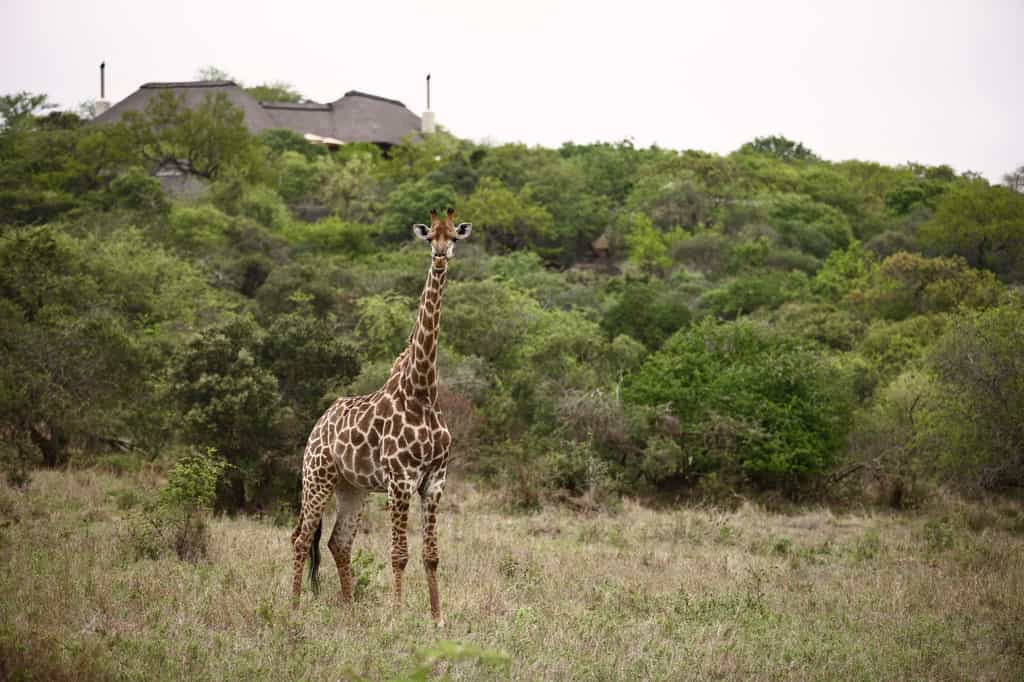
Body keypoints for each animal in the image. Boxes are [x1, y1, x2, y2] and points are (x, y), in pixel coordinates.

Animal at [290, 207, 471, 627]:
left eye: (454, 236)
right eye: (429, 237)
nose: (440, 256)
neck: (422, 390)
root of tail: (317, 424)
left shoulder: (435, 480)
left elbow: (431, 555)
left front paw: (437, 619)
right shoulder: (400, 478)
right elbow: (399, 554)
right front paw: (397, 615)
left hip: (351, 487)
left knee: (337, 542)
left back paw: (349, 608)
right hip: (316, 477)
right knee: (301, 537)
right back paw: (292, 607)